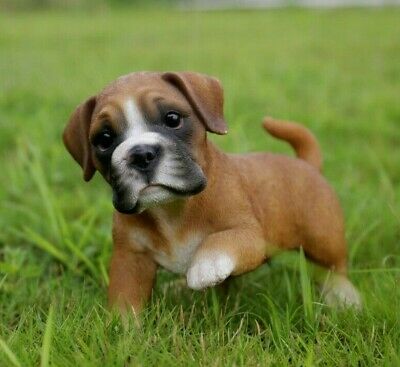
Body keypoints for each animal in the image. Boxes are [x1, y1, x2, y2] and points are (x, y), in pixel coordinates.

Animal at [63, 71, 362, 314]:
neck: (171, 208)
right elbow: (125, 299)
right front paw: (122, 333)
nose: (141, 154)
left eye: (172, 119)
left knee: (334, 267)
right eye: (104, 139)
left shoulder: (249, 236)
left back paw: (343, 296)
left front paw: (206, 264)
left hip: (323, 236)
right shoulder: (130, 259)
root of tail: (306, 163)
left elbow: (221, 240)